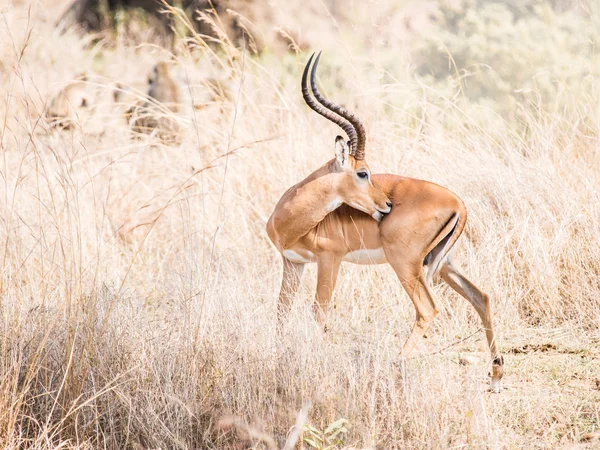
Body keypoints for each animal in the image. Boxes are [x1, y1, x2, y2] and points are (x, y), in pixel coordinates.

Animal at [264, 51, 504, 390]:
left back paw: (395, 366)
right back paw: (496, 376)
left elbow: (319, 313)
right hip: (443, 263)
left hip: (405, 263)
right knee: (481, 297)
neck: (292, 219)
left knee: (428, 309)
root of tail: (459, 203)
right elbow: (281, 314)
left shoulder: (329, 260)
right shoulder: (293, 262)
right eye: (363, 173)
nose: (386, 205)